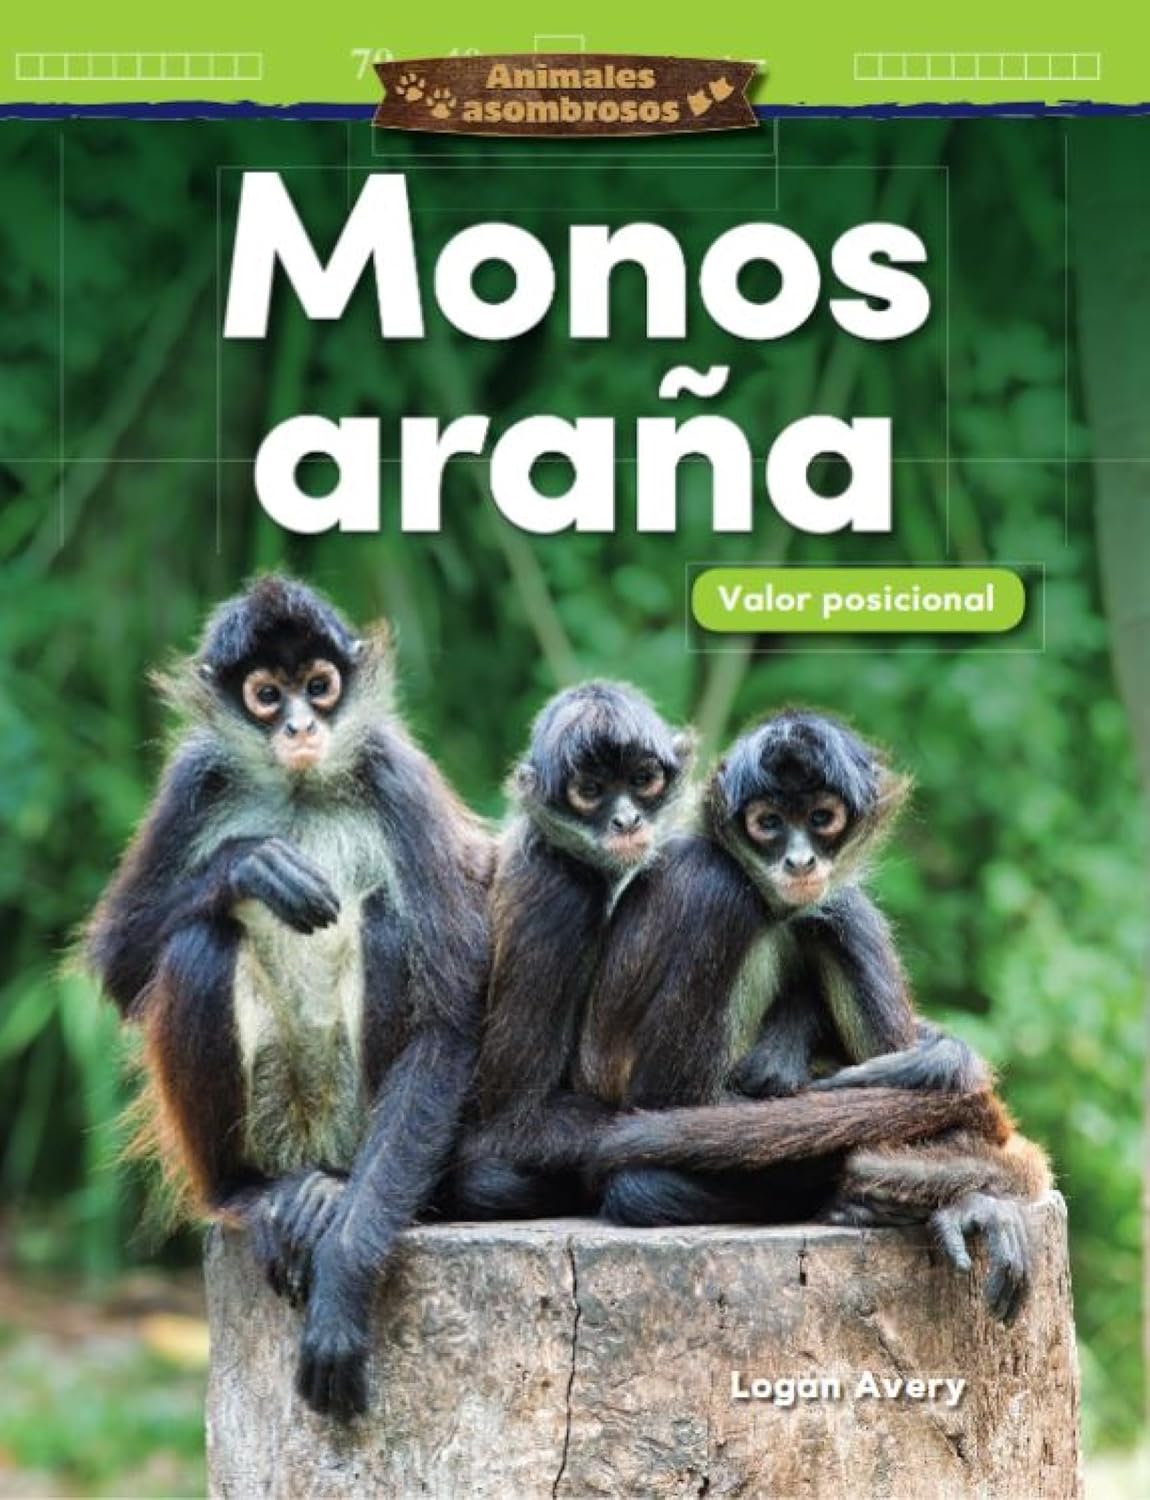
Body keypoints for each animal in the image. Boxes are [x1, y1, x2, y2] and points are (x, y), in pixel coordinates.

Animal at [85, 576, 493, 1419]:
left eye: (320, 684)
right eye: (267, 695)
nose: (302, 725)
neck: (302, 789)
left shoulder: (394, 770)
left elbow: (447, 1024)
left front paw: (341, 1287)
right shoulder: (193, 776)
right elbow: (120, 967)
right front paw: (246, 866)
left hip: (350, 1118)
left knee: (387, 923)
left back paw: (331, 1195)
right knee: (199, 944)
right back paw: (252, 1196)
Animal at [585, 710, 1049, 1323]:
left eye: (821, 819)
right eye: (768, 823)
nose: (800, 859)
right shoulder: (708, 883)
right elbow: (665, 1103)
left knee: (839, 911)